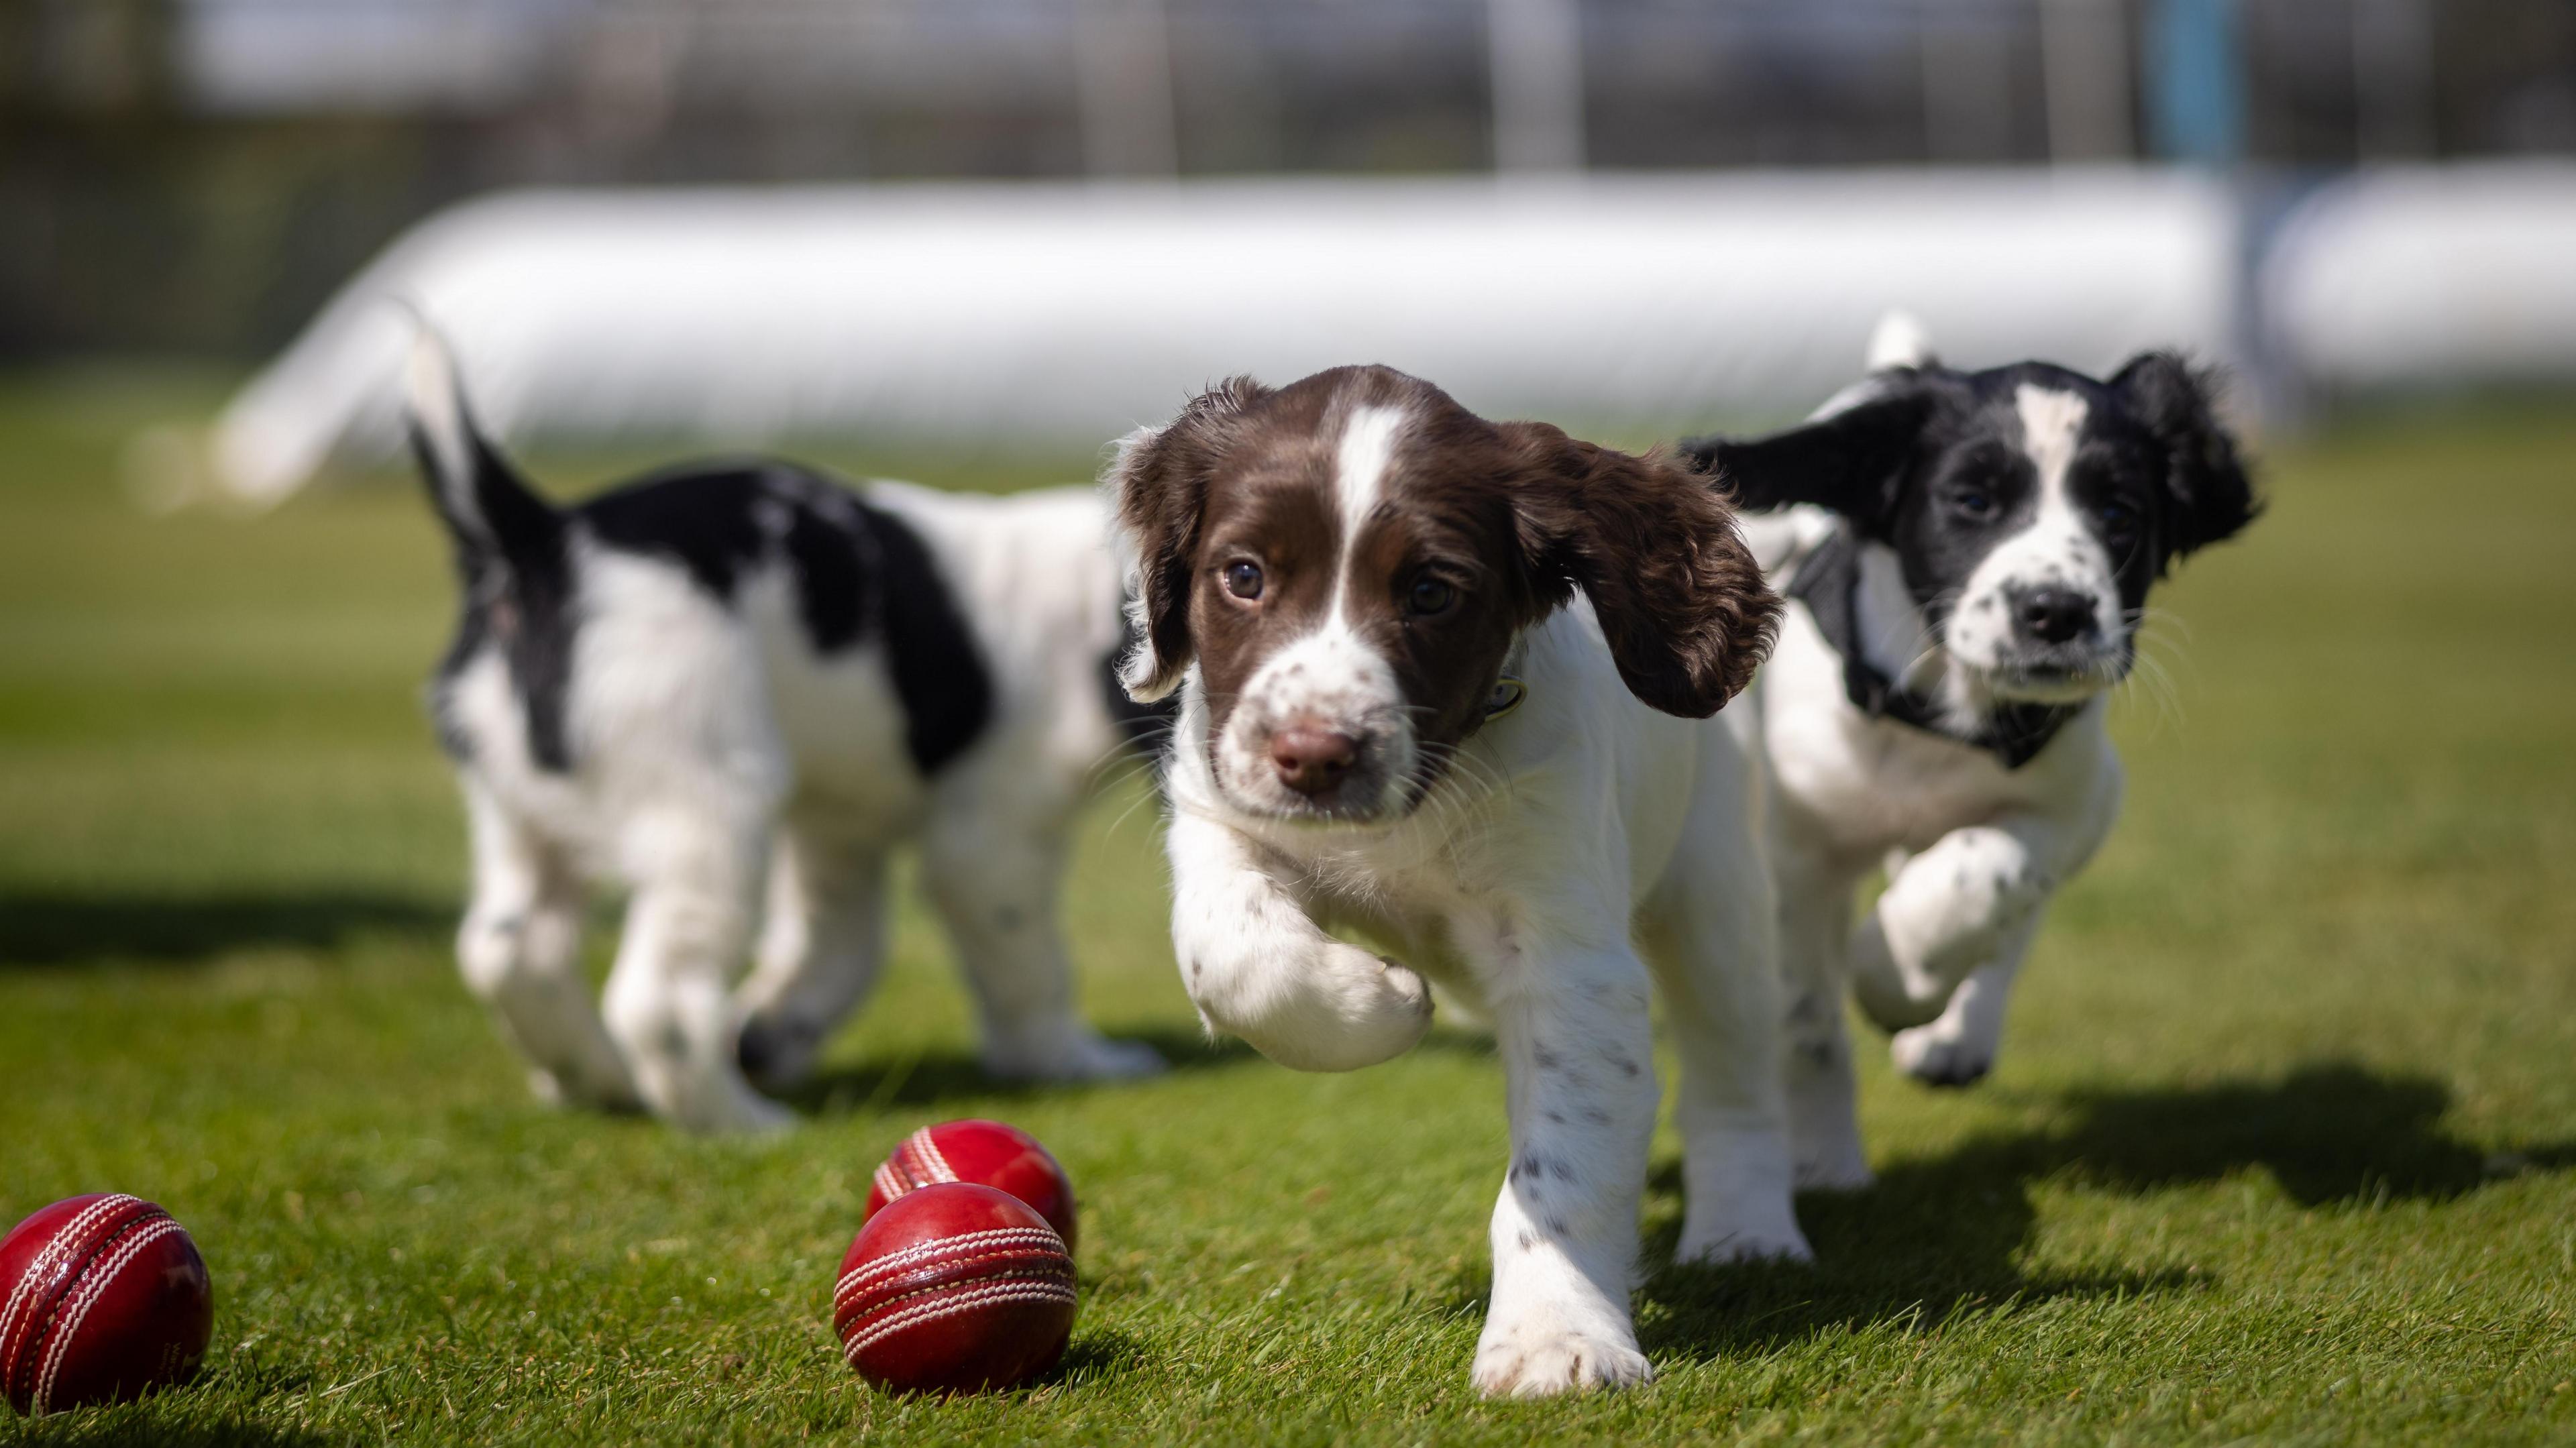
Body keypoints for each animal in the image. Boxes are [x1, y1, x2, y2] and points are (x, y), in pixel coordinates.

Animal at [399, 332, 1159, 1133]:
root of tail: (541, 540)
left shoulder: (840, 827)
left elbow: (839, 947)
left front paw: (769, 1031)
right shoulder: (990, 844)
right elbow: (1030, 968)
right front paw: (1071, 1060)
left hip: (519, 812)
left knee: (510, 951)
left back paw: (597, 1079)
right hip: (709, 804)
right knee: (656, 1002)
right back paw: (739, 1122)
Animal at [1112, 366, 1813, 1391]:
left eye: (1431, 590)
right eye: (1244, 575)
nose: (1313, 756)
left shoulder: (1570, 958)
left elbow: (1563, 1162)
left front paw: (1558, 1335)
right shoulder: (1219, 811)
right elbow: (1239, 956)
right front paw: (1382, 999)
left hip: (1715, 889)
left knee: (1737, 1075)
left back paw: (1747, 1231)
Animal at [1669, 318, 2256, 1185]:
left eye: (2119, 511)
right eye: (1973, 501)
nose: (2057, 611)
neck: (1940, 721)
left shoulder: (2078, 799)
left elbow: (1991, 869)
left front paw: (1897, 975)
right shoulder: (1794, 847)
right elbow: (1806, 1017)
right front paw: (1825, 1158)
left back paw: (1952, 1032)